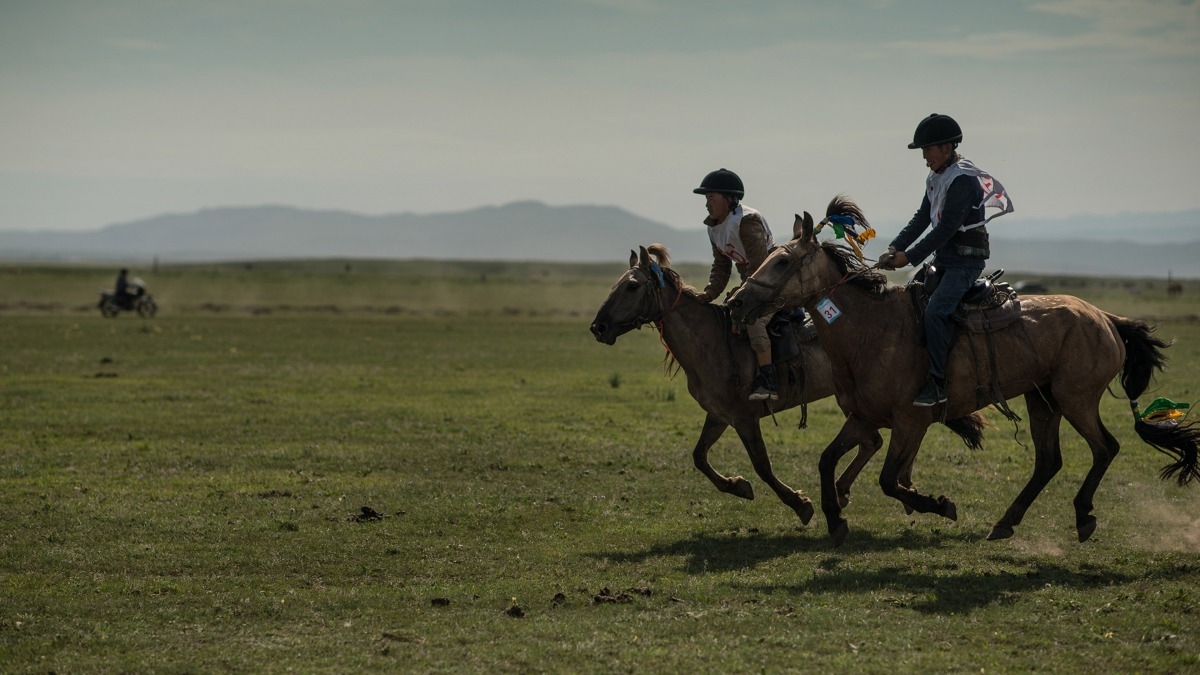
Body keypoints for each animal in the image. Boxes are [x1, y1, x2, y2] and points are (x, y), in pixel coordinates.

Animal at [585, 243, 988, 523]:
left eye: (632, 286)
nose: (598, 327)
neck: (712, 341)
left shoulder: (744, 418)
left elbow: (762, 465)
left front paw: (801, 504)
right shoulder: (719, 416)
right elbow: (699, 457)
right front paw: (737, 486)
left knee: (886, 438)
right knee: (874, 441)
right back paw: (850, 492)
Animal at [720, 196, 1200, 542]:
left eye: (782, 261)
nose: (736, 303)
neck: (872, 330)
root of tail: (1106, 318)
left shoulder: (911, 421)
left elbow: (890, 480)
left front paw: (936, 504)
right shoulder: (862, 418)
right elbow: (826, 461)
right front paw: (836, 521)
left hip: (1075, 399)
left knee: (1105, 448)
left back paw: (1082, 516)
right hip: (1042, 399)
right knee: (1049, 461)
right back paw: (1006, 522)